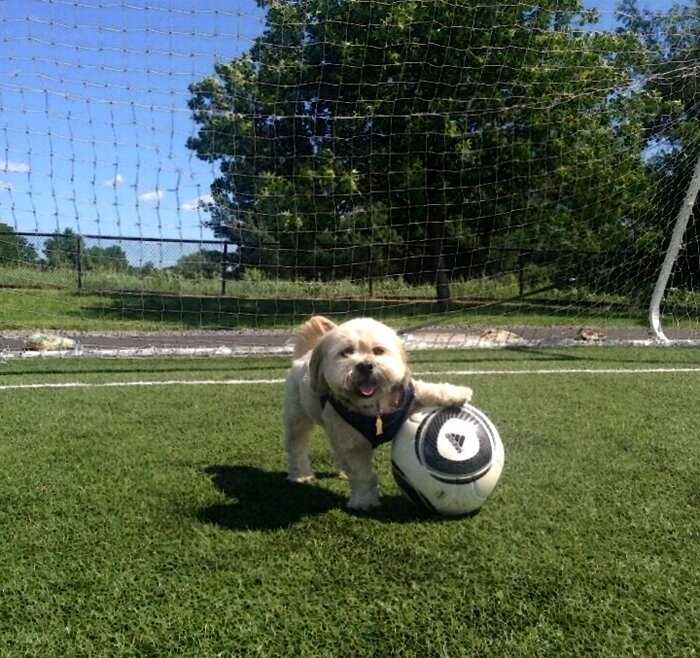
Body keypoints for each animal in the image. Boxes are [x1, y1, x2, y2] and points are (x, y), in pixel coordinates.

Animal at [282, 316, 474, 510]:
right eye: (347, 352)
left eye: (378, 351)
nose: (365, 365)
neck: (376, 409)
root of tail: (304, 356)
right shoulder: (353, 445)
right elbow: (362, 474)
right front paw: (363, 501)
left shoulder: (406, 399)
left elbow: (428, 391)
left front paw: (456, 393)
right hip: (297, 418)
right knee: (297, 446)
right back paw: (301, 475)